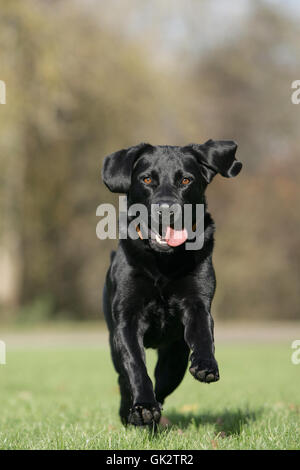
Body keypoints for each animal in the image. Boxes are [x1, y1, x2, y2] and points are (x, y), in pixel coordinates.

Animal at [102, 140, 243, 426]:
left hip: (174, 360)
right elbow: (135, 366)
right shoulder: (126, 318)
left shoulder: (197, 303)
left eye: (186, 180)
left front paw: (206, 365)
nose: (166, 209)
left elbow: (203, 333)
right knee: (124, 379)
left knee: (163, 385)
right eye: (147, 179)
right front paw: (143, 407)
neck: (163, 262)